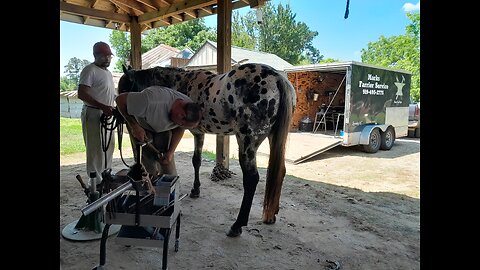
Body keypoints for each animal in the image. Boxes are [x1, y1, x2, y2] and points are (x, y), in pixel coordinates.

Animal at [117, 63, 294, 236]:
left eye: (123, 87)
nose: (120, 117)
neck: (181, 82)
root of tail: (277, 78)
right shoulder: (198, 133)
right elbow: (196, 161)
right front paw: (196, 190)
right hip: (274, 137)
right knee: (279, 171)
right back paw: (271, 215)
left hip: (247, 142)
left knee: (251, 179)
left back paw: (237, 225)